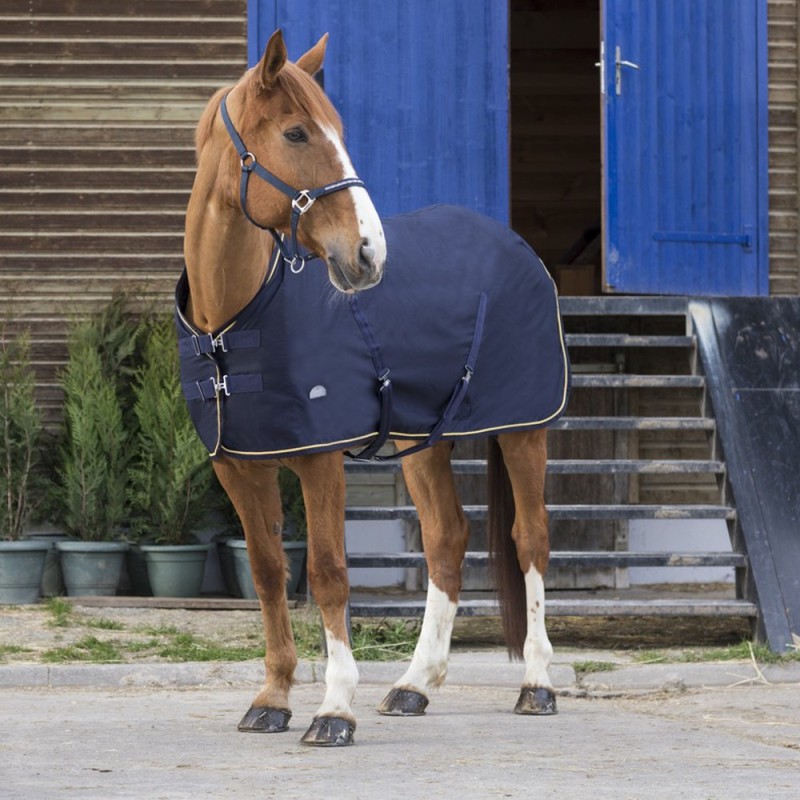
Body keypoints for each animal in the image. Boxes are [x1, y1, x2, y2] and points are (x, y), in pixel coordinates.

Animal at [184, 29, 564, 744]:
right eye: (297, 133)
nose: (368, 254)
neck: (235, 319)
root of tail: (515, 246)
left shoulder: (318, 459)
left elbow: (328, 573)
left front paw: (334, 708)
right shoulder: (238, 466)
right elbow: (269, 573)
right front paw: (272, 699)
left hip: (524, 430)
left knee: (531, 539)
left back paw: (537, 684)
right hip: (424, 440)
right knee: (447, 538)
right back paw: (414, 685)